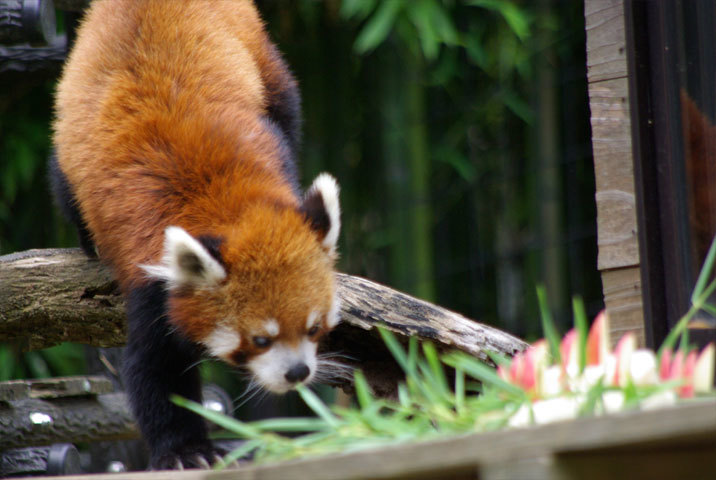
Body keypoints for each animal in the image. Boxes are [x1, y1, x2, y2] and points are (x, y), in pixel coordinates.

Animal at [50, 0, 342, 466]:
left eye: (314, 329)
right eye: (260, 339)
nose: (298, 372)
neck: (231, 207)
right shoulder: (153, 276)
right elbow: (157, 367)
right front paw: (186, 451)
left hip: (258, 52)